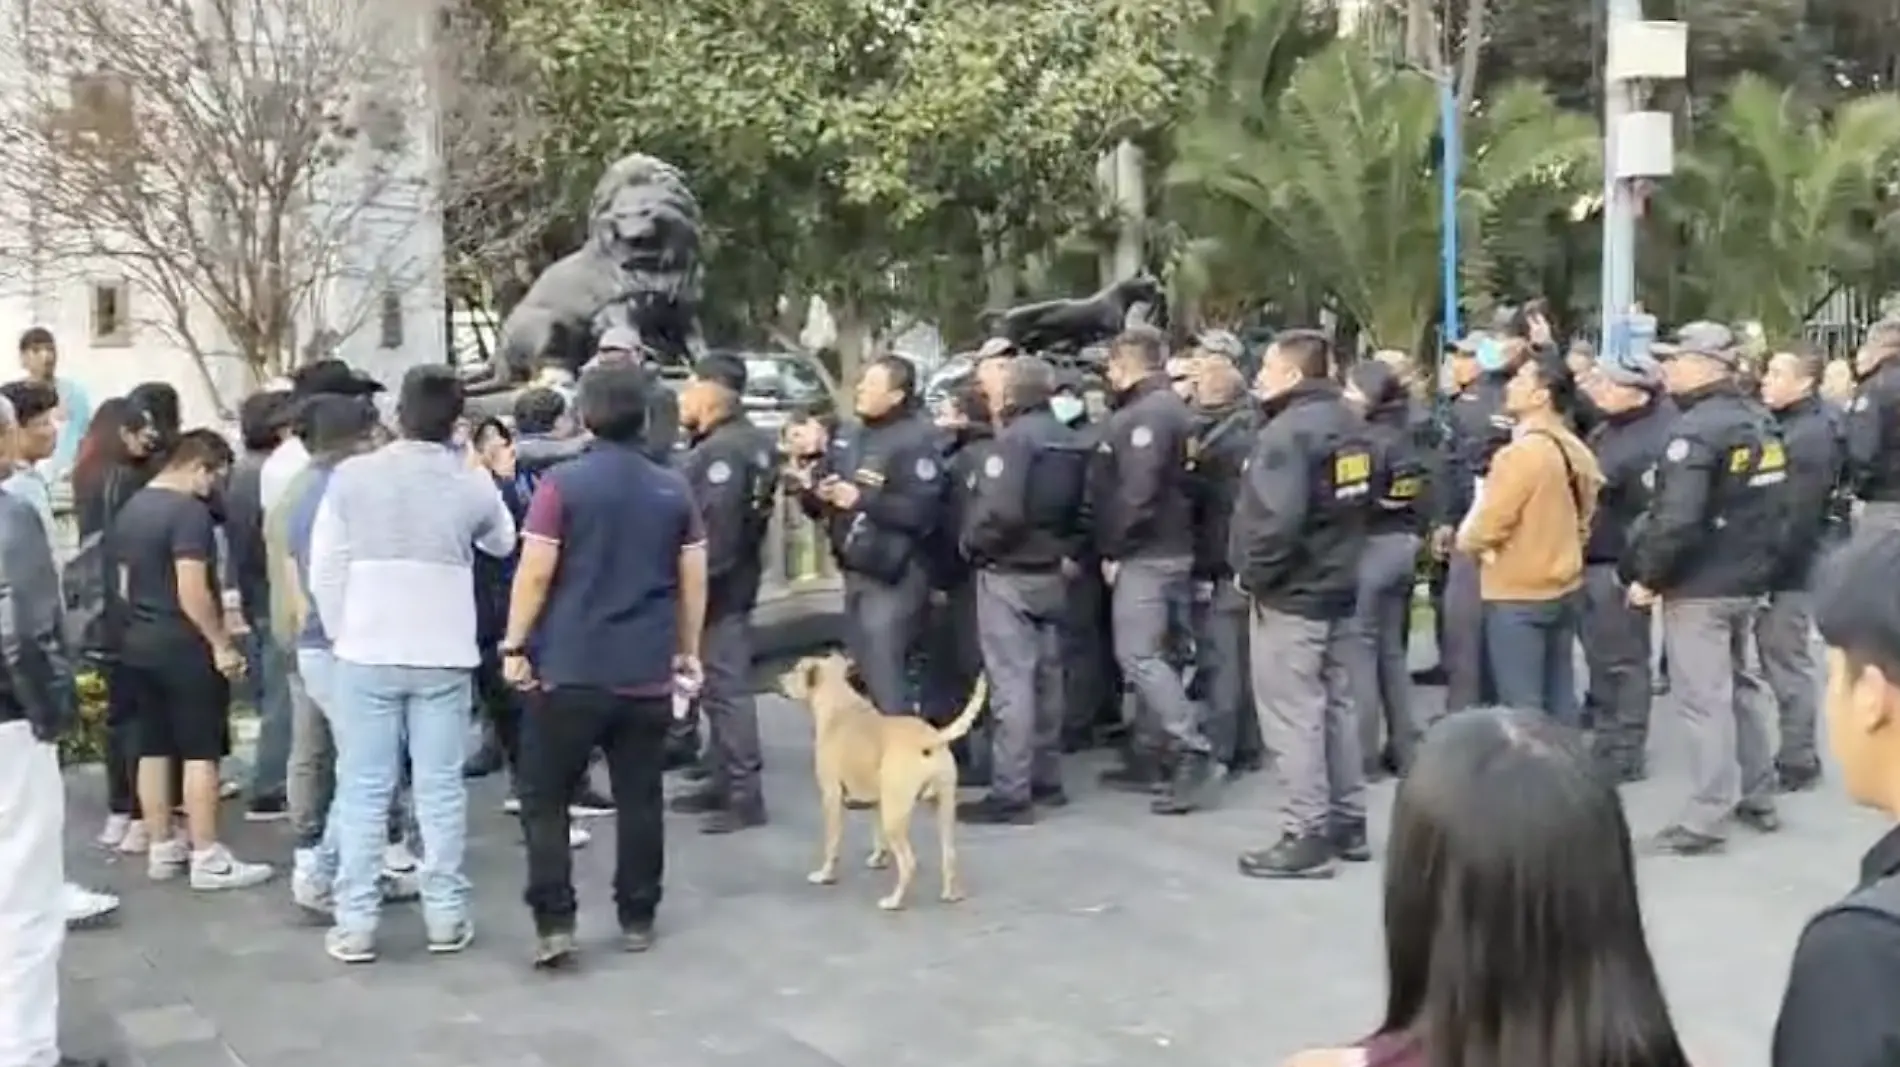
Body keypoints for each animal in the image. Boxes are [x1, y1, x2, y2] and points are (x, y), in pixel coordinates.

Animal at [782, 653, 995, 911]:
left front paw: (825, 875)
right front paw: (878, 858)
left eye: (795, 670)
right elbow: (877, 834)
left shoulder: (831, 796)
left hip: (895, 817)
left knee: (908, 862)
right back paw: (951, 894)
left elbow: (832, 843)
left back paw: (894, 901)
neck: (839, 703)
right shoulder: (878, 801)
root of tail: (930, 737)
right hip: (942, 807)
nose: (778, 679)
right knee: (950, 853)